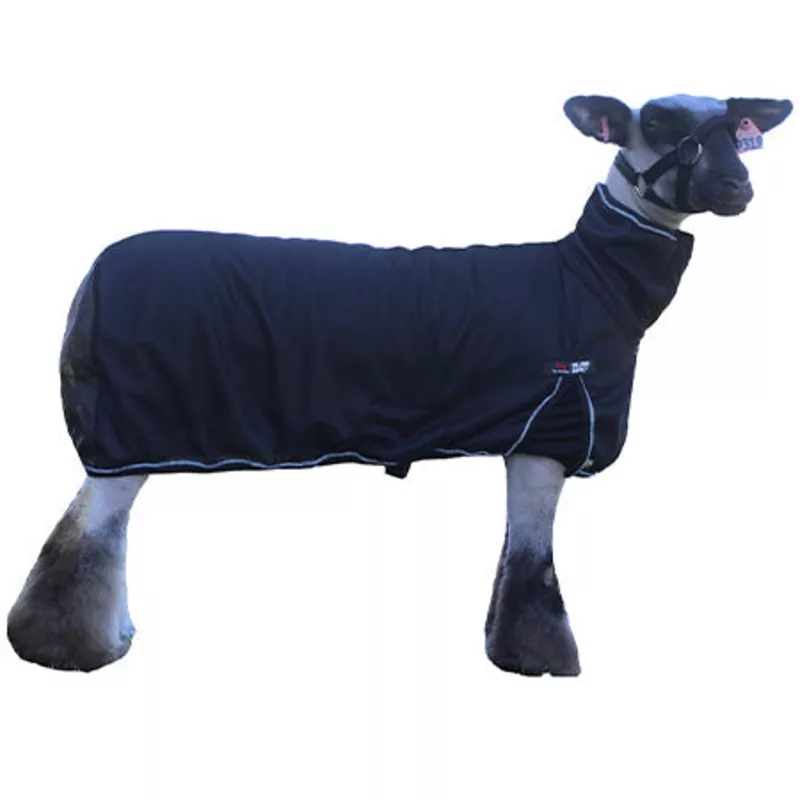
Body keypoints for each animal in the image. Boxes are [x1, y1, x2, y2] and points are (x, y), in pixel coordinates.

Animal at [7, 92, 792, 675]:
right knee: (86, 535)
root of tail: (90, 280)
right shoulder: (548, 430)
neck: (587, 280)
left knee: (90, 529)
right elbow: (533, 563)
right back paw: (68, 650)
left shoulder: (528, 435)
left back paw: (110, 635)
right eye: (659, 123)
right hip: (128, 431)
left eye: (736, 126)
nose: (738, 186)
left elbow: (515, 557)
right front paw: (542, 661)